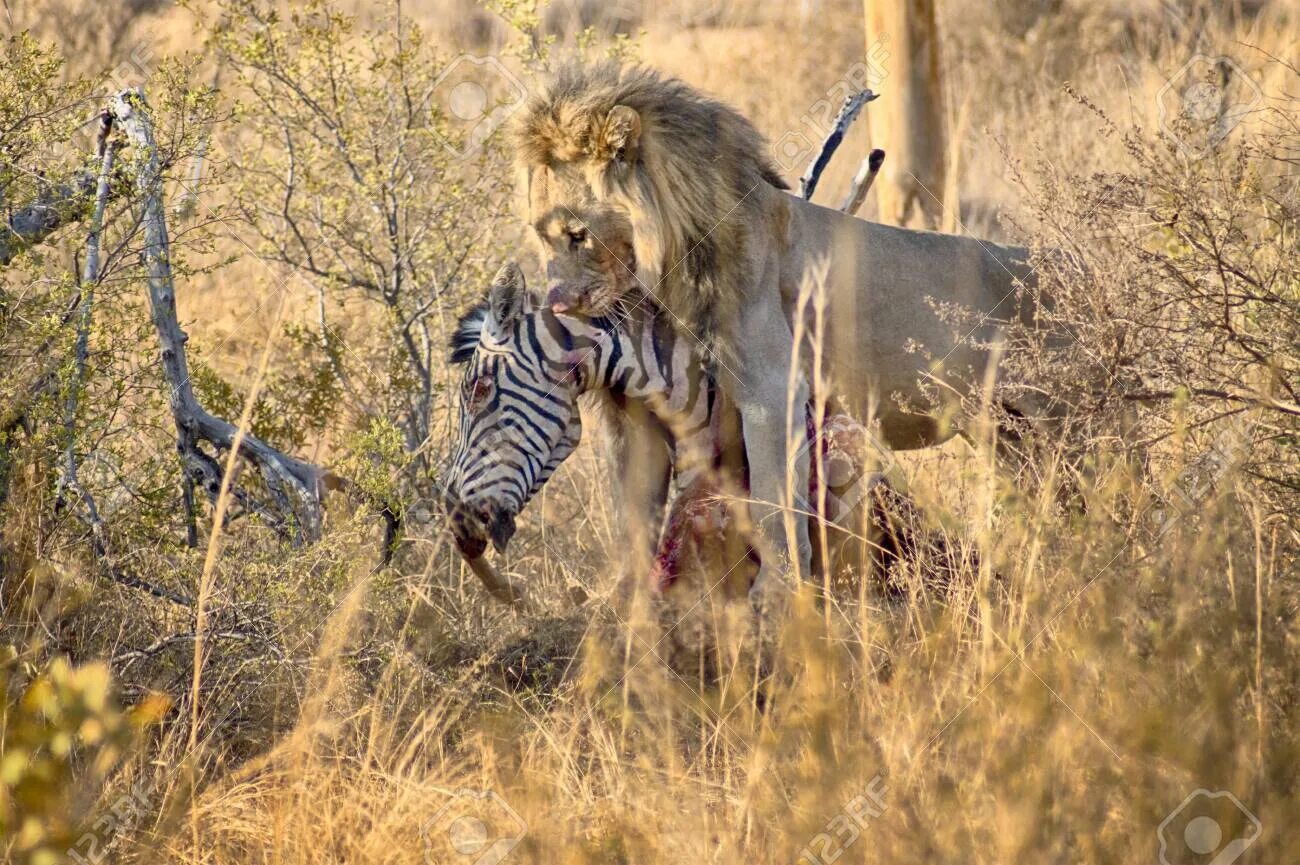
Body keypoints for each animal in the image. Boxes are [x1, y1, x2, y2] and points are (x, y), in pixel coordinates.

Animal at [512, 60, 1040, 603]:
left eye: (577, 235)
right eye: (538, 234)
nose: (557, 302)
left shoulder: (772, 389)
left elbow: (772, 502)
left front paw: (777, 592)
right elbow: (638, 516)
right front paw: (630, 601)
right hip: (1012, 439)